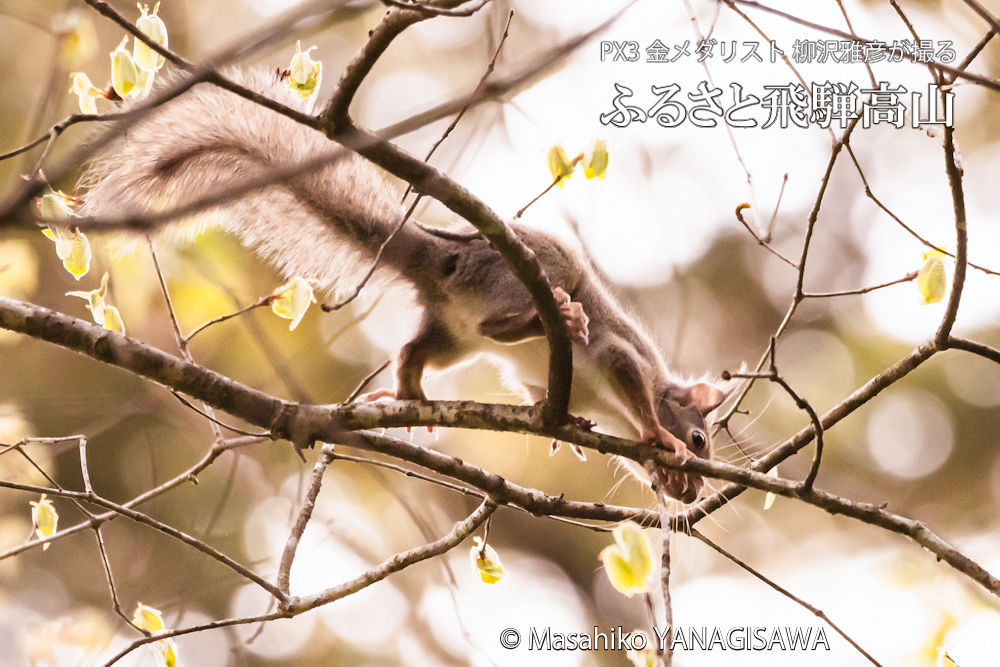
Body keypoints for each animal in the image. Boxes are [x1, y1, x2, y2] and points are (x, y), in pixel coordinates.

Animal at [80, 69, 728, 506]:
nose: (690, 494)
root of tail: (443, 256)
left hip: (451, 337)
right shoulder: (622, 358)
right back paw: (554, 318)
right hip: (525, 275)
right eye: (699, 438)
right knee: (504, 320)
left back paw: (408, 391)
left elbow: (543, 399)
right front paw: (655, 435)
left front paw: (567, 432)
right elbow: (631, 386)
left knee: (415, 349)